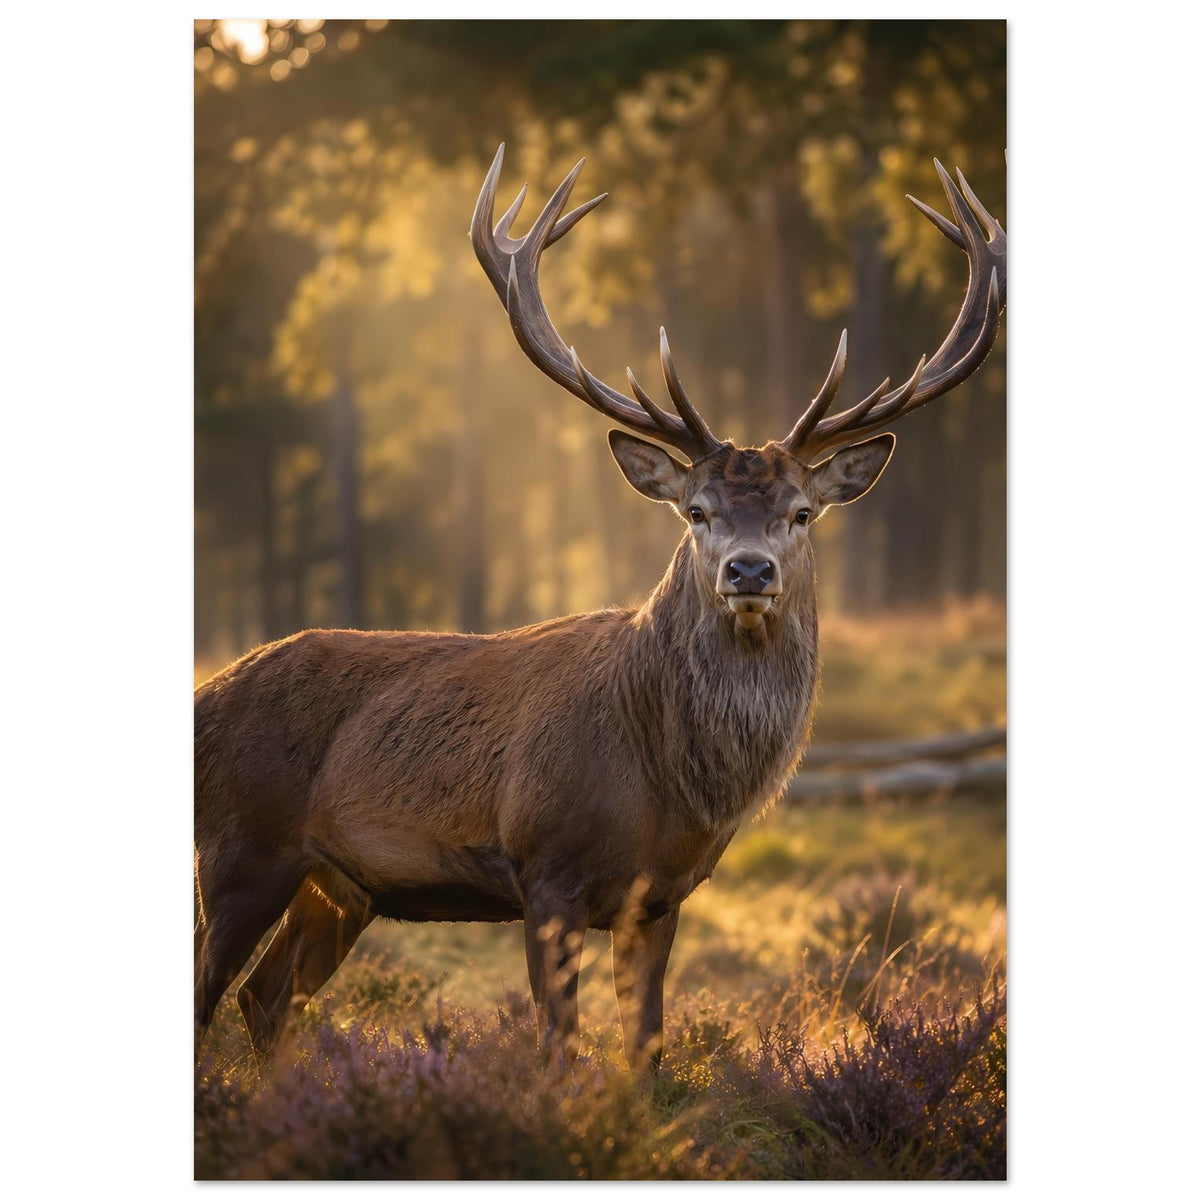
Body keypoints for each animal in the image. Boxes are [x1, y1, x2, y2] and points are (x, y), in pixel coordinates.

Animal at [194, 144, 1005, 1070]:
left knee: (266, 997)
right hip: (239, 849)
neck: (665, 779)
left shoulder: (662, 896)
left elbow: (644, 1048)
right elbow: (556, 1046)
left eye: (802, 512)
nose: (749, 570)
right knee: (210, 997)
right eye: (697, 512)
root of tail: (203, 696)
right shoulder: (545, 869)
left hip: (342, 884)